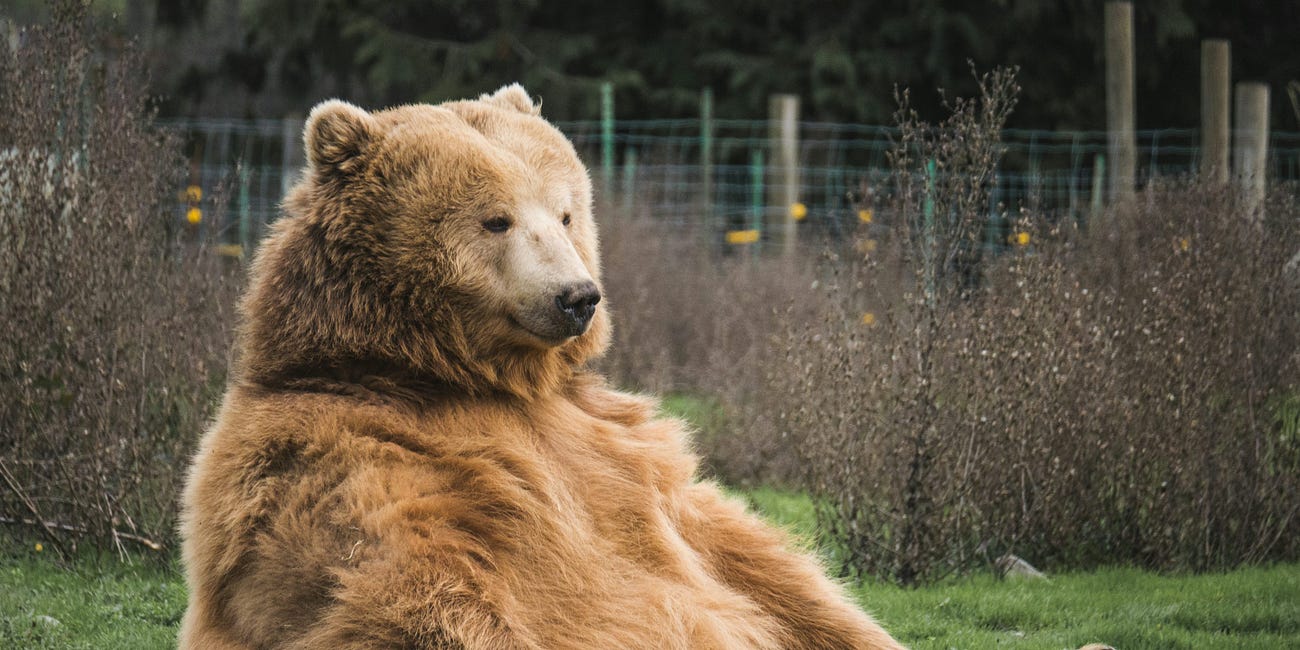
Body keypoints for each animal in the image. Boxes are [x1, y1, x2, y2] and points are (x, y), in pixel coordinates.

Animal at [178, 84, 904, 650]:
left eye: (565, 212)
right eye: (495, 220)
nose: (578, 296)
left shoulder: (621, 451)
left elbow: (752, 560)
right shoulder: (357, 454)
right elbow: (409, 591)